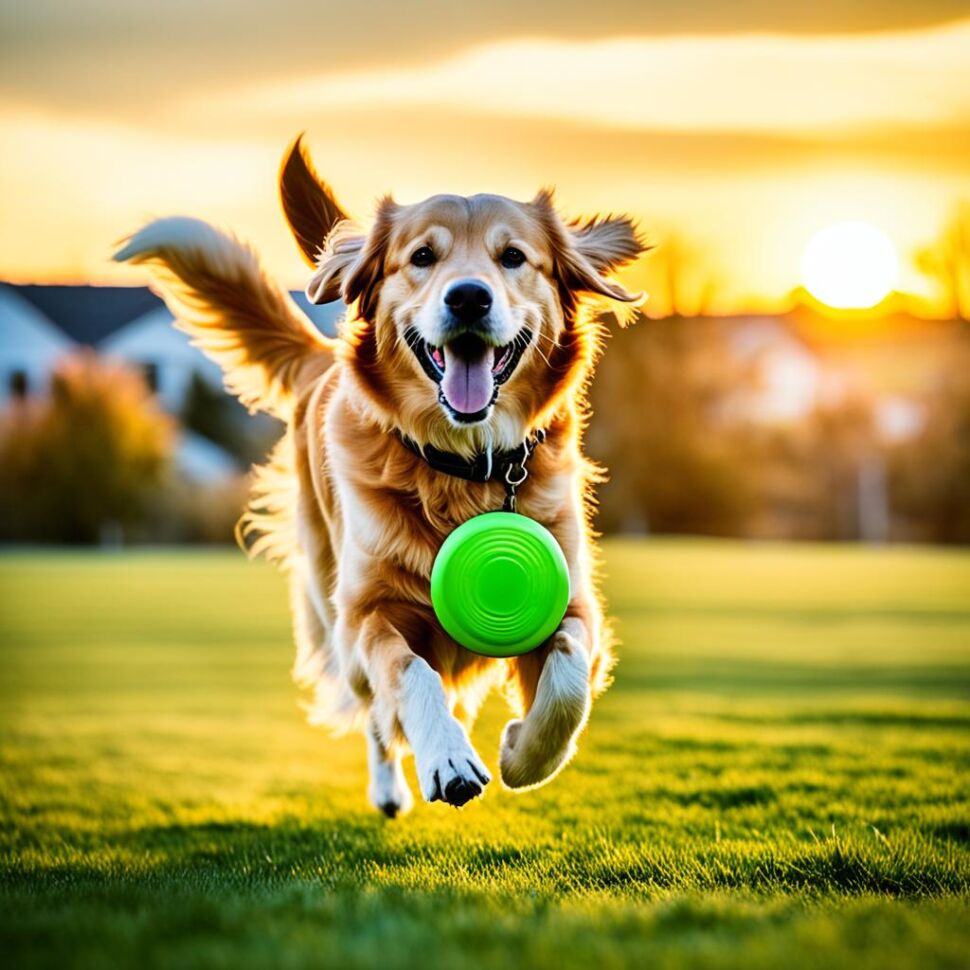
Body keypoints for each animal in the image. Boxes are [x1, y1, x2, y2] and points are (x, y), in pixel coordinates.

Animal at [115, 136, 644, 812]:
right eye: (421, 257)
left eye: (513, 257)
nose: (468, 296)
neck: (461, 463)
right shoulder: (367, 615)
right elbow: (410, 674)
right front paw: (448, 758)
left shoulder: (573, 600)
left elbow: (569, 679)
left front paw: (523, 754)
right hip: (328, 597)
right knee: (376, 715)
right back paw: (393, 784)